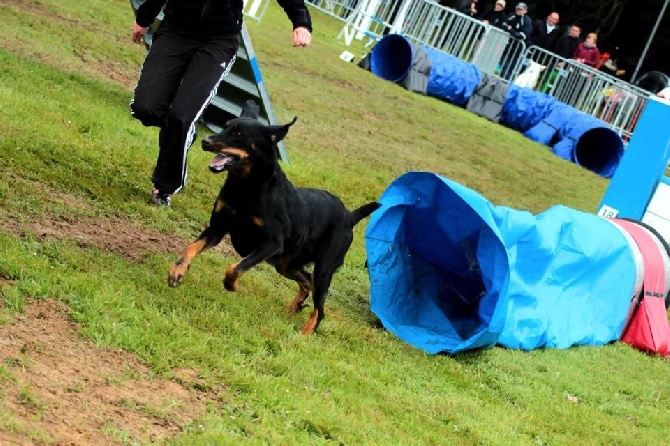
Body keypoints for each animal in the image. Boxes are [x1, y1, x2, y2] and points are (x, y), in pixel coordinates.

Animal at [168, 102, 380, 334]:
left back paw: (304, 334)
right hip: (286, 263)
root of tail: (349, 216)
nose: (205, 141)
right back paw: (293, 308)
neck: (246, 188)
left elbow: (235, 268)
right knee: (307, 280)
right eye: (225, 126)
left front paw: (231, 285)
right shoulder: (217, 228)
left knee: (320, 308)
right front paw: (177, 272)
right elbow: (190, 248)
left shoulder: (272, 243)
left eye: (239, 133)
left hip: (324, 268)